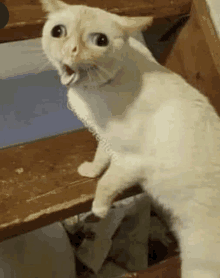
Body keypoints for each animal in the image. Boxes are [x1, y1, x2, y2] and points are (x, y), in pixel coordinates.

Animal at [40, 1, 220, 276]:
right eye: (58, 31)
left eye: (100, 40)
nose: (71, 49)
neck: (91, 94)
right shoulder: (106, 139)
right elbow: (100, 159)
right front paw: (91, 171)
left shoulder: (131, 160)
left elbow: (107, 183)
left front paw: (100, 209)